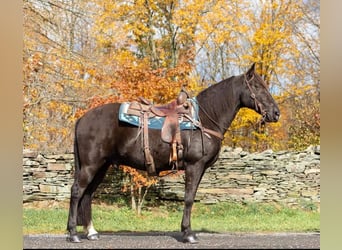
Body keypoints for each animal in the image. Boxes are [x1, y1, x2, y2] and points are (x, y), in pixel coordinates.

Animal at [67, 63, 280, 244]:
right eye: (257, 87)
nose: (276, 113)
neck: (203, 119)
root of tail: (82, 119)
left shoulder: (200, 169)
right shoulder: (194, 166)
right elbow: (189, 198)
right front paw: (188, 234)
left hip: (102, 166)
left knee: (87, 194)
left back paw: (91, 232)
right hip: (91, 165)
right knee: (77, 191)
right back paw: (73, 234)